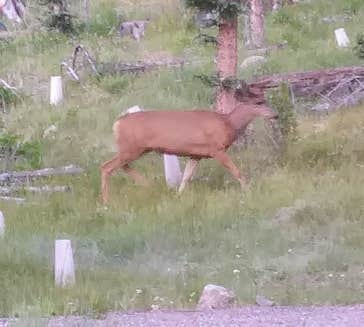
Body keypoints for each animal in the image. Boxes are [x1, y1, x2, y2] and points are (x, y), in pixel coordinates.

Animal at [101, 104, 278, 204]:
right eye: (259, 104)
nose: (275, 114)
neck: (228, 123)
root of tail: (116, 124)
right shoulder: (216, 149)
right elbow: (237, 172)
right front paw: (248, 191)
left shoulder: (196, 155)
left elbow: (186, 176)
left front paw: (178, 196)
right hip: (132, 147)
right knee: (106, 166)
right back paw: (105, 202)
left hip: (136, 149)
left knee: (121, 165)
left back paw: (149, 185)